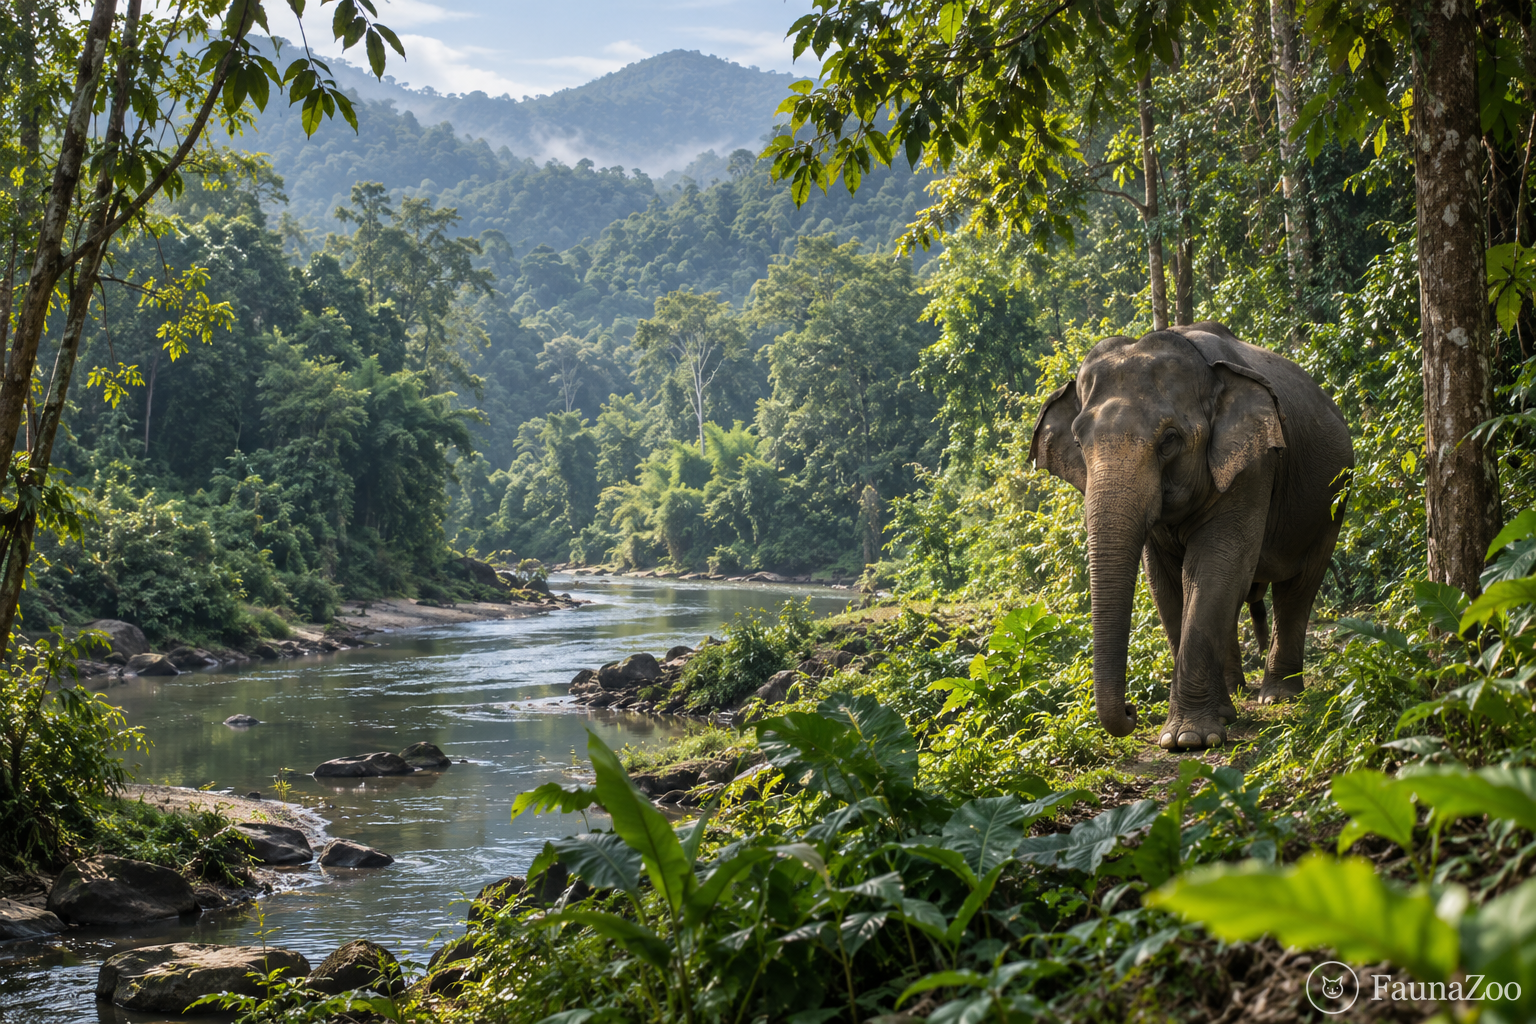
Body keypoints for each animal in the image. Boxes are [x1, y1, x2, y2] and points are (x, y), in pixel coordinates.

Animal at [1029, 321, 1354, 750]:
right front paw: (1204, 726)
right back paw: (1233, 695)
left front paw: (1188, 739)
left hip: (1334, 497)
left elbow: (1216, 566)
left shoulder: (1254, 464)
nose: (1132, 710)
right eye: (1080, 443)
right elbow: (1167, 585)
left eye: (1169, 440)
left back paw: (1278, 696)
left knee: (1297, 588)